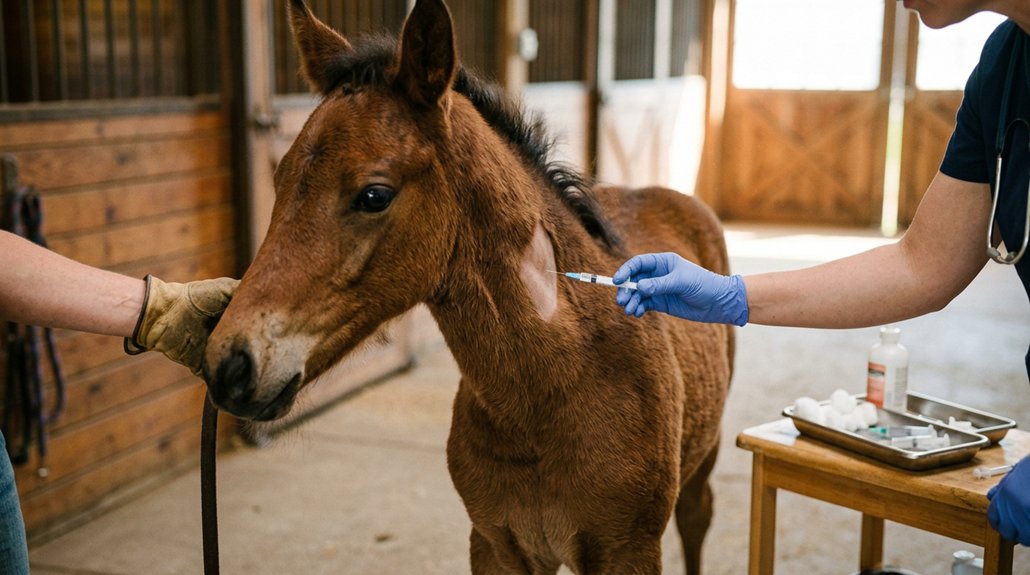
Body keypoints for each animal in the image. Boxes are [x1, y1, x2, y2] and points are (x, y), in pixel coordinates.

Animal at [203, 0, 734, 572]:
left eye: (373, 195)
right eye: (279, 181)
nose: (228, 365)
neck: (549, 399)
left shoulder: (626, 551)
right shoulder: (495, 543)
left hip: (703, 464)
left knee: (697, 522)